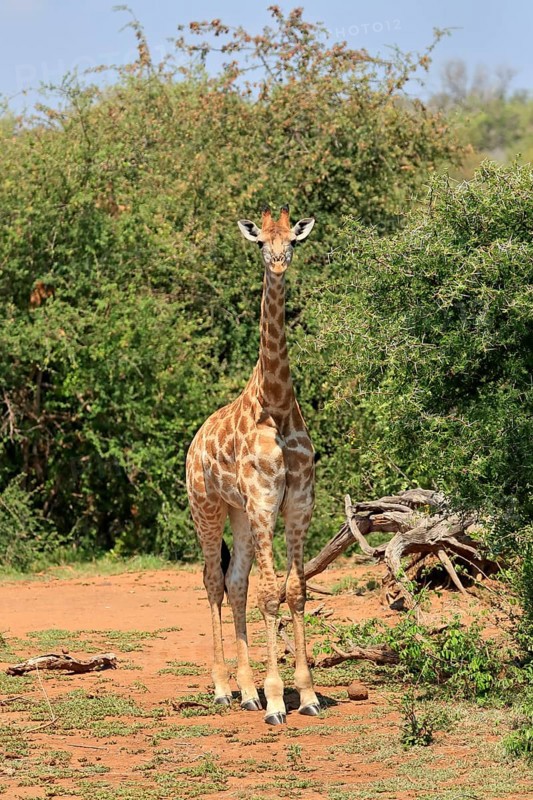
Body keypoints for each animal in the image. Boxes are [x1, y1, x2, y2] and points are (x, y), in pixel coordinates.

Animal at [185, 204, 319, 725]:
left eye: (294, 241)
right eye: (261, 241)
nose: (279, 263)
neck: (276, 403)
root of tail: (192, 443)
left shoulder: (298, 503)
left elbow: (294, 591)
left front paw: (308, 695)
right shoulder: (264, 503)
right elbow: (270, 593)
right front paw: (278, 700)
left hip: (238, 514)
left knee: (235, 582)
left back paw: (246, 691)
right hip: (206, 508)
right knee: (211, 581)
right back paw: (224, 690)